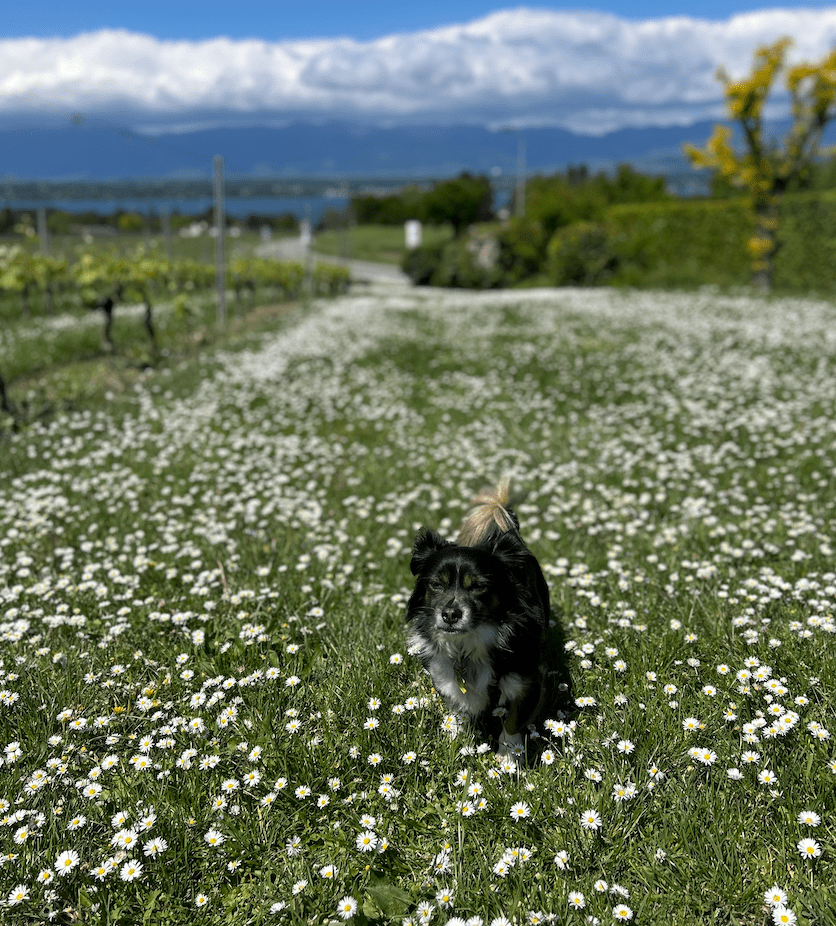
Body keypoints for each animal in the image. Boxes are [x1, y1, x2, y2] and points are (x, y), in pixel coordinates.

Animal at [404, 486, 548, 752]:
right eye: (437, 584)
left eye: (478, 587)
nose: (450, 614)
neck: (467, 645)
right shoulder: (445, 677)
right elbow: (458, 711)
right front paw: (455, 741)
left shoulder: (527, 682)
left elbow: (512, 722)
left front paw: (508, 757)